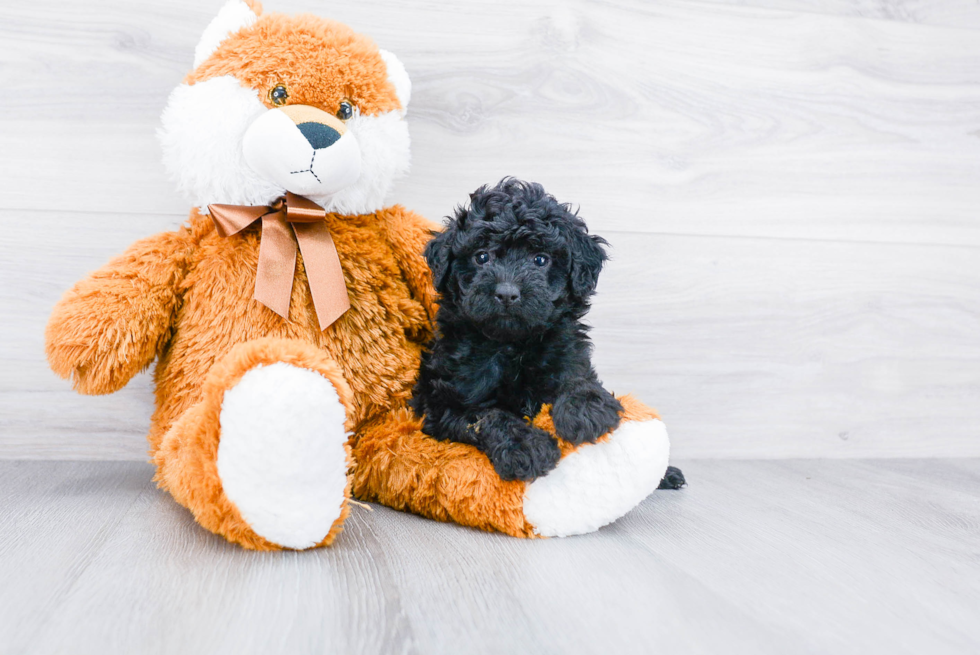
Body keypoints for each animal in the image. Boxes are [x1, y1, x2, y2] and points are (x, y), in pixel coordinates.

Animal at [414, 177, 688, 490]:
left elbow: (577, 377)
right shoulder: (442, 403)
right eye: (481, 257)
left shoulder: (567, 351)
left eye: (541, 259)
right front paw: (526, 447)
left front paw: (585, 409)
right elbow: (487, 414)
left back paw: (667, 474)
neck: (514, 346)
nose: (507, 293)